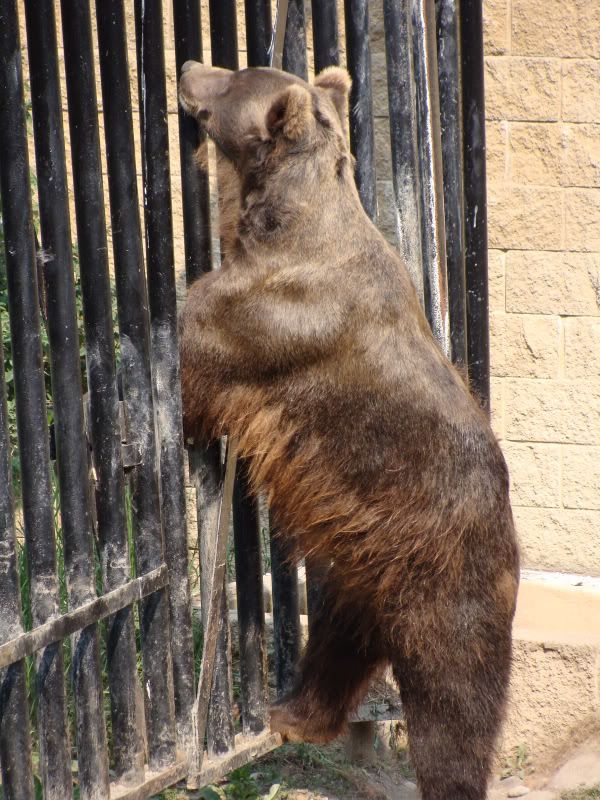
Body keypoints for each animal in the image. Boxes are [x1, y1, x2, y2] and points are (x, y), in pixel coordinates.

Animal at [178, 61, 519, 800]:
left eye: (231, 79)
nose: (188, 69)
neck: (279, 225)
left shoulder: (262, 318)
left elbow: (194, 353)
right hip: (358, 570)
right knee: (336, 644)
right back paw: (292, 714)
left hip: (447, 582)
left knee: (455, 702)